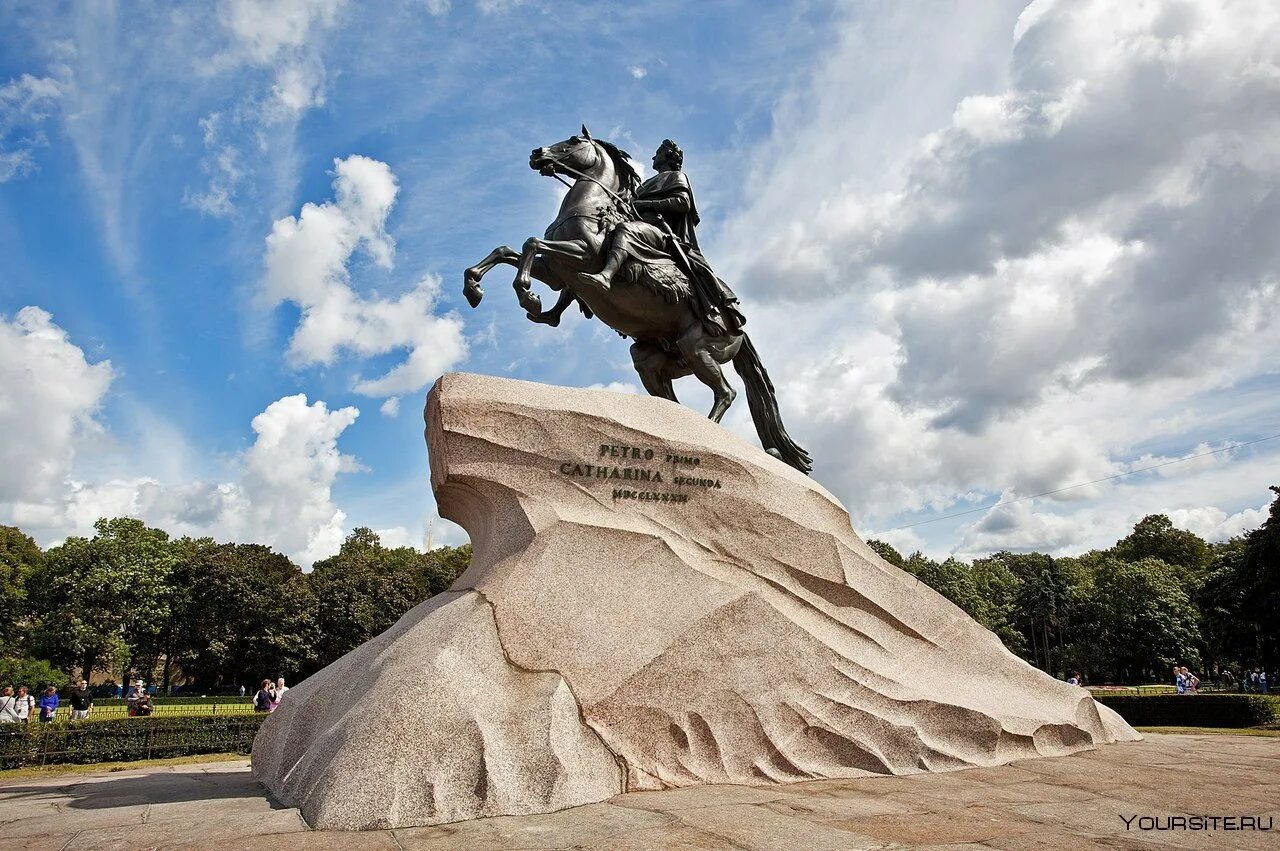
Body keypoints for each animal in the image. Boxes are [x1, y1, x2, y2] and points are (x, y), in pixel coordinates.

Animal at [460, 127, 808, 470]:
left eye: (574, 141)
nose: (537, 154)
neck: (591, 207)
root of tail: (739, 328)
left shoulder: (581, 255)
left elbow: (530, 243)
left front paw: (528, 296)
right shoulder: (557, 271)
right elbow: (508, 250)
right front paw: (475, 287)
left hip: (698, 349)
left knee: (726, 392)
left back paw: (708, 437)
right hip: (652, 359)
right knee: (672, 399)